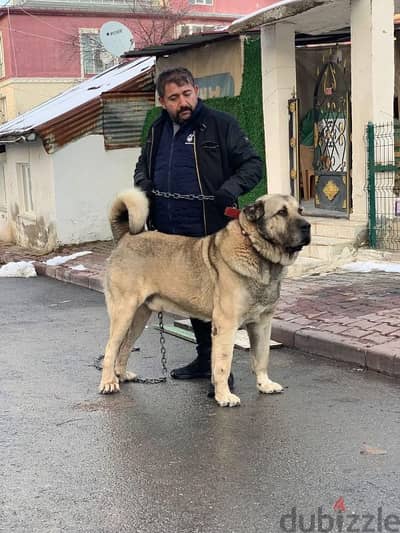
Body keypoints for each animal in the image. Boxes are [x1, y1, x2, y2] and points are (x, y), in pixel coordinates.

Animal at [98, 188, 310, 408]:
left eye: (300, 210)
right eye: (282, 212)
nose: (307, 226)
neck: (255, 249)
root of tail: (125, 237)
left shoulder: (262, 323)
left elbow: (261, 356)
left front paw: (264, 384)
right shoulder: (226, 325)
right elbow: (223, 363)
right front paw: (224, 396)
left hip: (139, 316)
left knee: (125, 346)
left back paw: (122, 375)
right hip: (124, 312)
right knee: (110, 348)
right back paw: (108, 383)